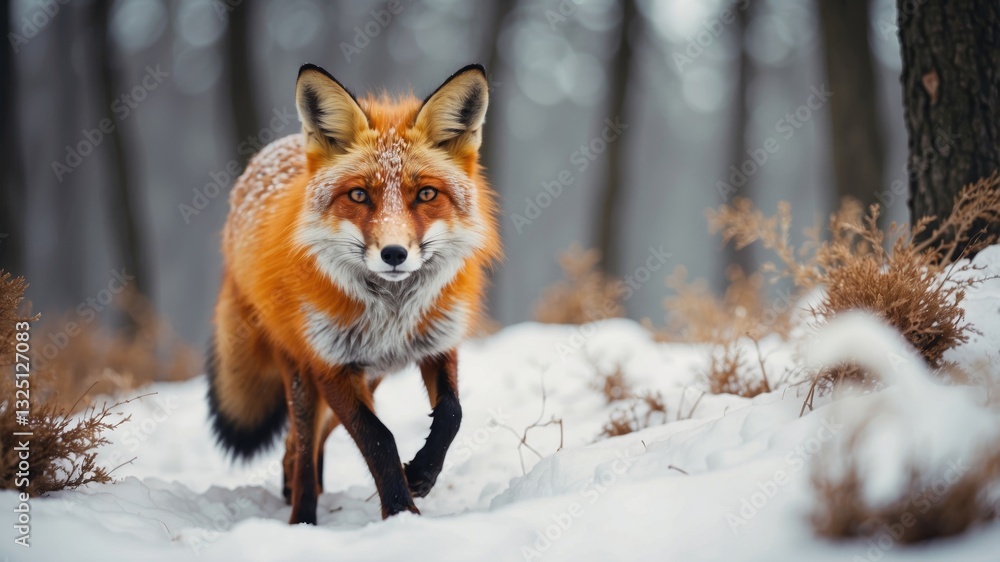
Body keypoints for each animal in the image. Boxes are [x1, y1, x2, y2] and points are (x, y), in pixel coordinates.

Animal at [206, 63, 500, 525]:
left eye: (426, 194)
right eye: (359, 194)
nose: (394, 253)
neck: (391, 313)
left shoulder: (437, 343)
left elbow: (452, 414)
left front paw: (421, 474)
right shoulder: (330, 365)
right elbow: (379, 439)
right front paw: (401, 513)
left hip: (368, 377)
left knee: (300, 445)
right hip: (302, 373)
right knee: (302, 443)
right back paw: (302, 515)